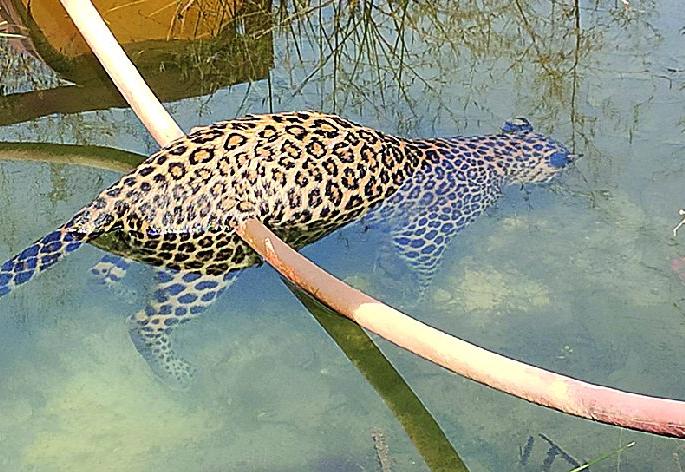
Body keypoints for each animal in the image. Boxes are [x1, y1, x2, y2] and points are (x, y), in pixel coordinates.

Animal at [0, 111, 574, 389]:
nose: (571, 155)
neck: (492, 152)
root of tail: (123, 188)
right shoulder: (425, 237)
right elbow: (415, 274)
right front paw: (417, 299)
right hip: (209, 267)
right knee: (145, 323)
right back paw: (178, 376)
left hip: (150, 244)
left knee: (105, 272)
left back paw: (114, 284)